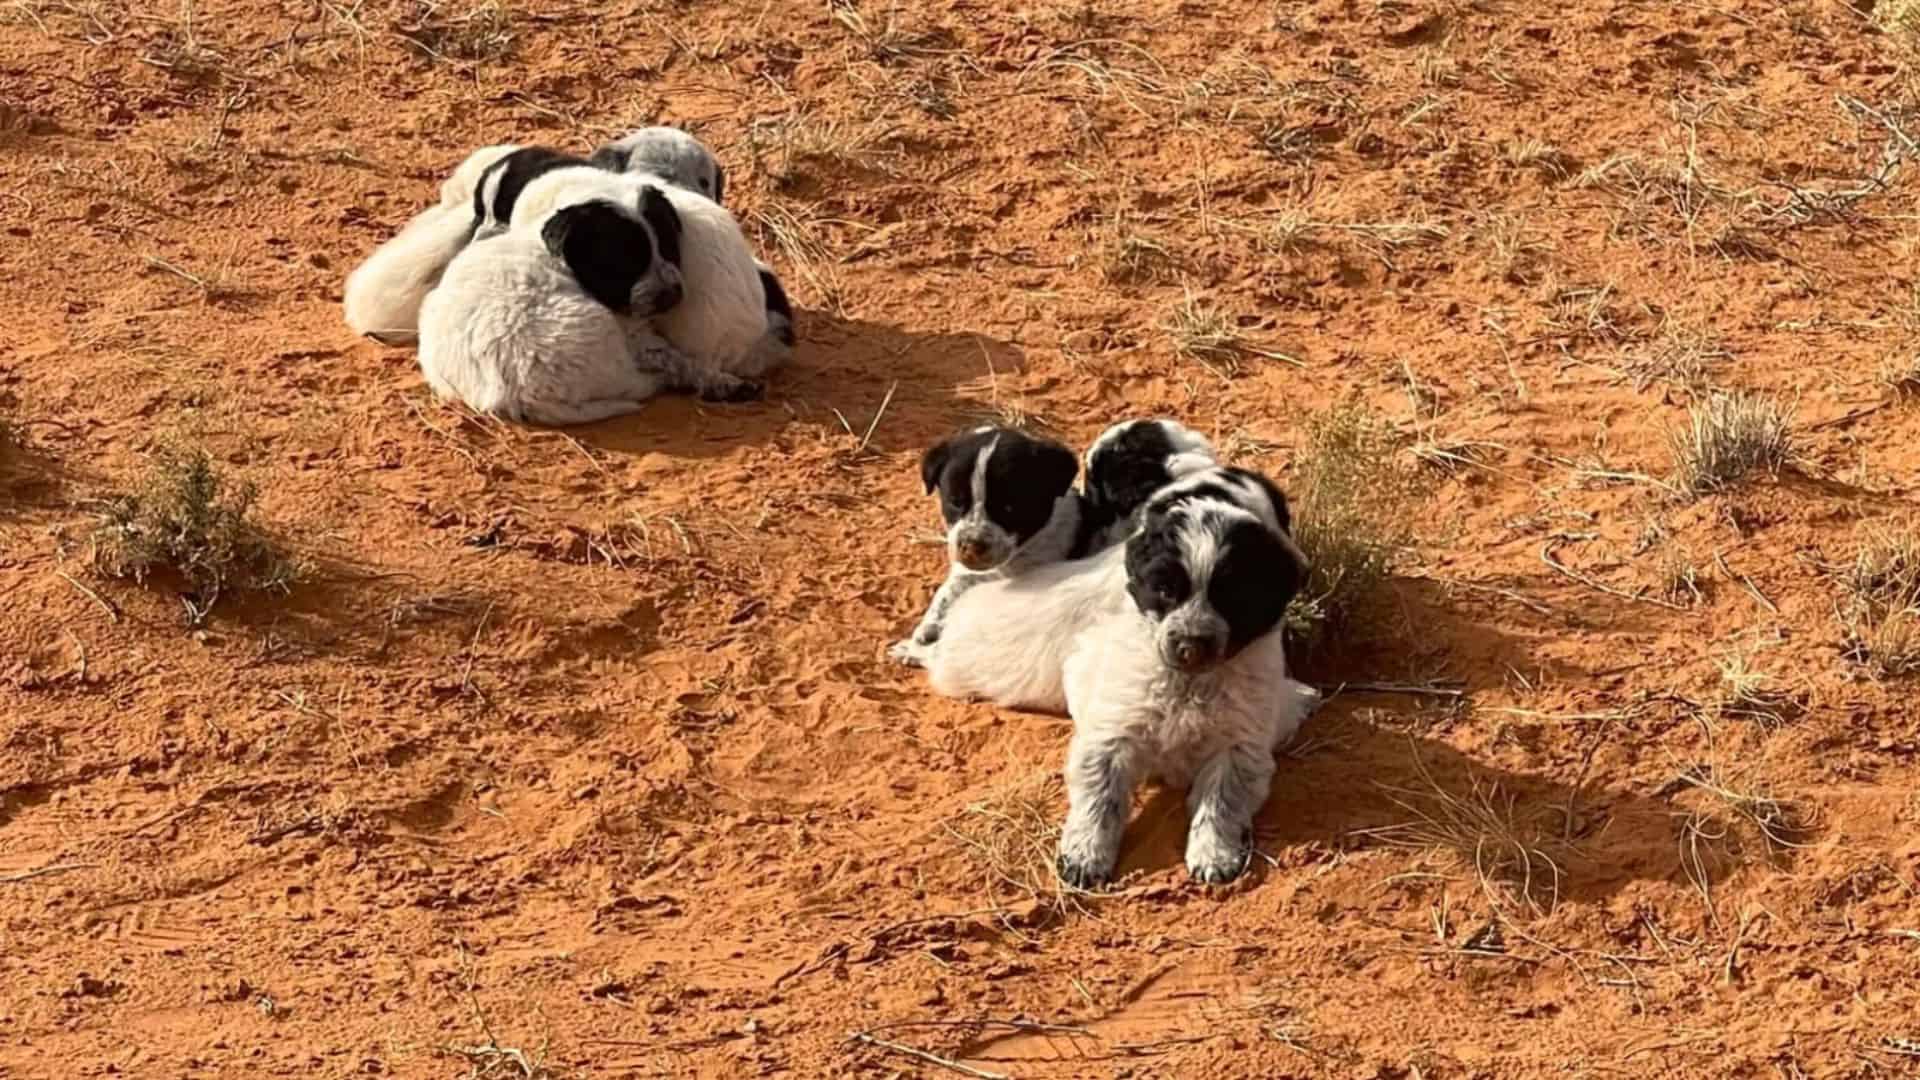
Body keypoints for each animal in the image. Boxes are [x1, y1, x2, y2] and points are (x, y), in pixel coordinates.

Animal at [1052, 466, 1320, 887]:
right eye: (1164, 590)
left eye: (1234, 598)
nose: (1191, 645)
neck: (1189, 683)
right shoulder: (1113, 730)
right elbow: (1100, 795)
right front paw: (1085, 854)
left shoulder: (1239, 747)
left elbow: (1221, 802)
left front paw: (1214, 854)